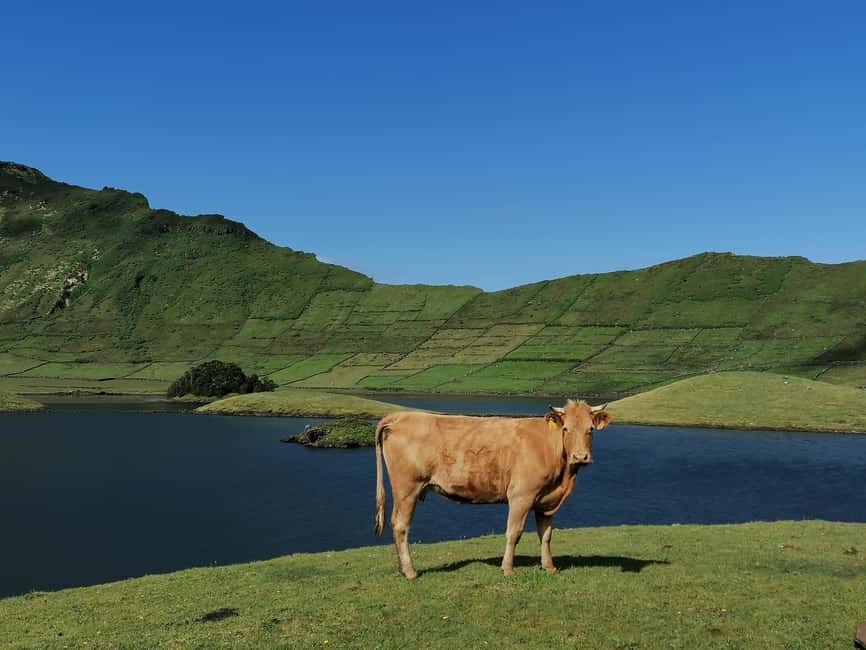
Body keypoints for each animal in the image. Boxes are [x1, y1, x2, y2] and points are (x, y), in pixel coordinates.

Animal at [373, 399, 611, 579]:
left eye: (590, 429)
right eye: (566, 428)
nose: (580, 456)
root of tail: (400, 416)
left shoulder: (546, 501)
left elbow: (546, 535)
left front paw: (549, 567)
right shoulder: (521, 496)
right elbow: (514, 533)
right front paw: (507, 569)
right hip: (407, 489)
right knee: (401, 525)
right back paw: (410, 571)